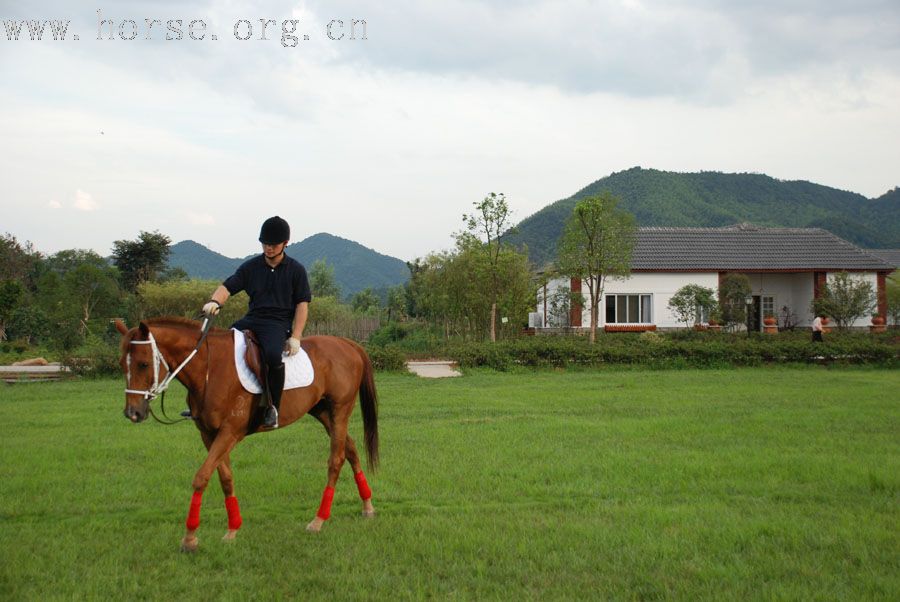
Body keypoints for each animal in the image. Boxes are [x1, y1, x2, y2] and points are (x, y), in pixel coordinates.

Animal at [114, 316, 378, 552]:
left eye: (143, 364)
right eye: (122, 365)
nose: (132, 413)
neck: (209, 368)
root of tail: (347, 344)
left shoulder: (230, 432)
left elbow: (202, 477)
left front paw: (189, 539)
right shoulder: (209, 434)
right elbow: (225, 477)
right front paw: (232, 529)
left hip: (339, 410)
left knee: (336, 459)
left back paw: (318, 520)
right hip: (323, 412)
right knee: (351, 449)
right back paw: (367, 506)